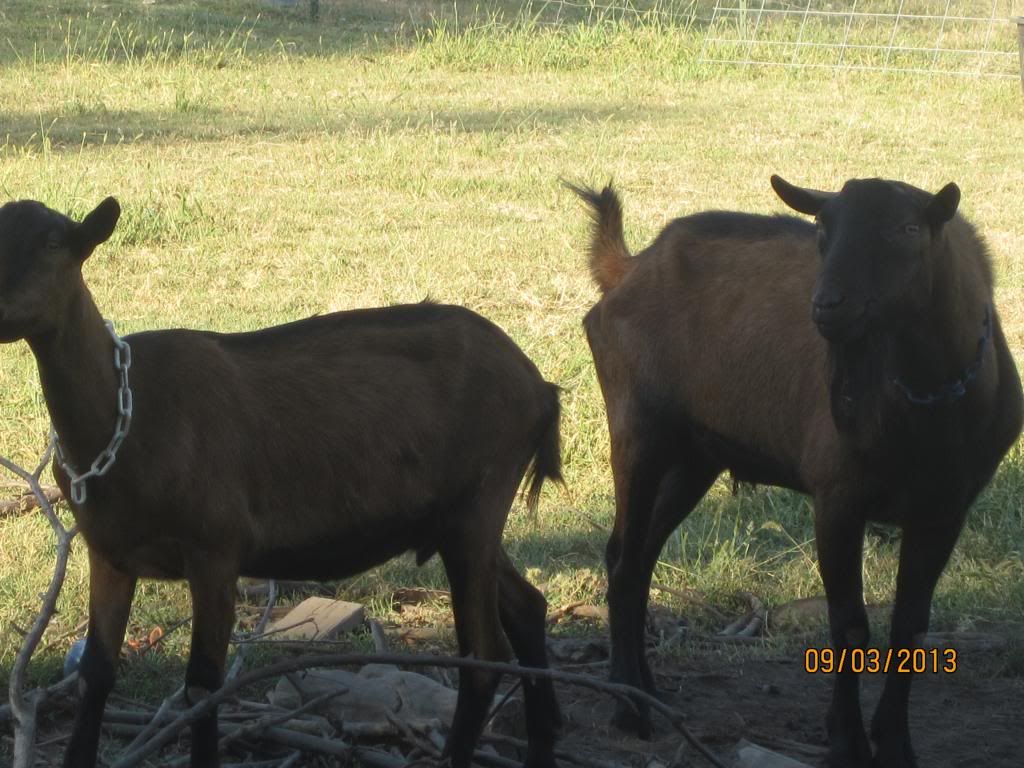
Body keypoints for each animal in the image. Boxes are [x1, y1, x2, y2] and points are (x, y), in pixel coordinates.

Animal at [0, 197, 563, 768]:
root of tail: (540, 387)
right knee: (526, 608)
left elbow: (203, 685)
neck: (128, 419)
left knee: (483, 654)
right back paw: (542, 743)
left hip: (481, 499)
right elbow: (95, 675)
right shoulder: (109, 551)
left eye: (54, 242)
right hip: (458, 520)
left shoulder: (216, 549)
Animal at [573, 177, 1022, 768]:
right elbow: (849, 625)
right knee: (625, 562)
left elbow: (910, 627)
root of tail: (629, 269)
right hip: (638, 431)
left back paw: (645, 689)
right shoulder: (838, 499)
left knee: (637, 555)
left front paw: (895, 742)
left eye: (907, 228)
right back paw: (629, 710)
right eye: (823, 229)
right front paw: (847, 740)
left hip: (696, 457)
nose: (828, 305)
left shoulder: (944, 510)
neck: (926, 406)